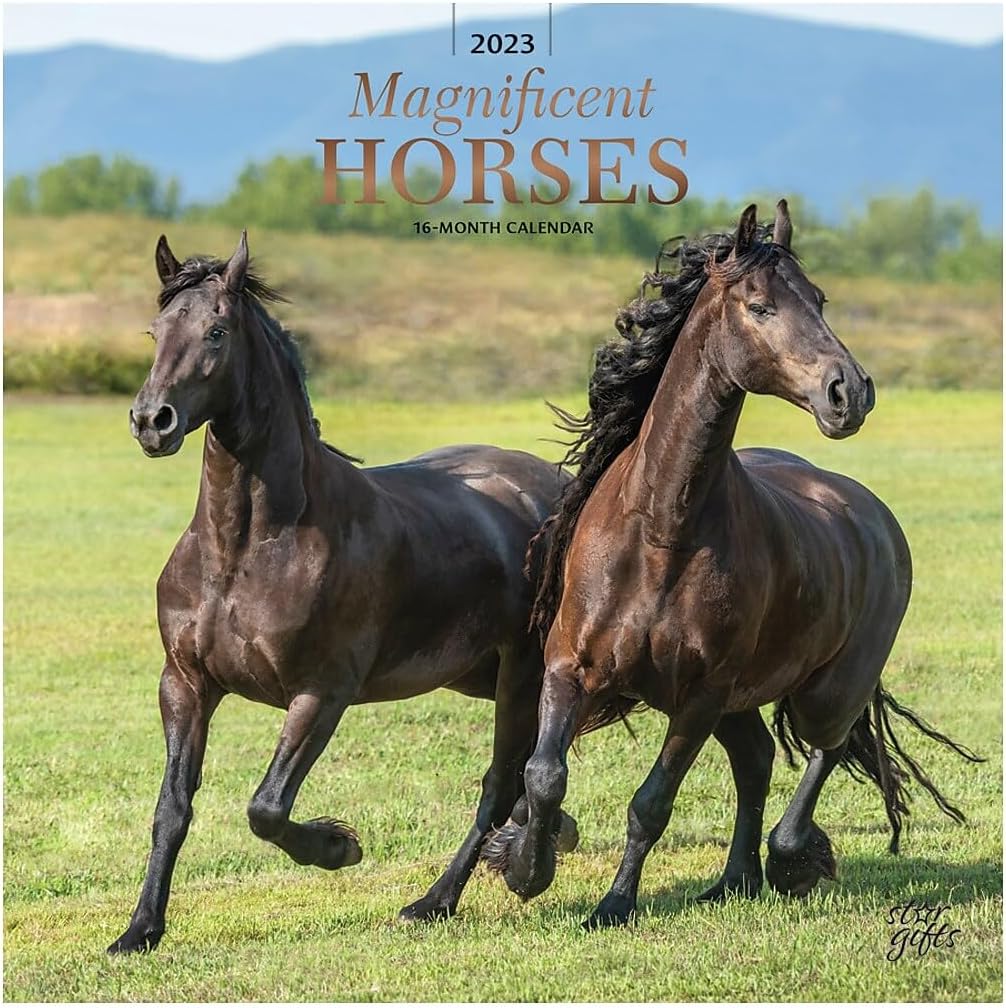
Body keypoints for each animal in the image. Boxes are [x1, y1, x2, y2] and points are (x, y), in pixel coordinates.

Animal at [108, 231, 578, 954]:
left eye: (216, 331)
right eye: (156, 330)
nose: (151, 421)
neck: (246, 550)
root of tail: (553, 487)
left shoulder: (321, 692)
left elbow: (267, 807)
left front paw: (338, 848)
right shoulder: (184, 685)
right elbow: (172, 809)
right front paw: (139, 931)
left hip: (521, 675)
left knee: (501, 782)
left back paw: (438, 900)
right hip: (475, 672)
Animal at [483, 201, 982, 929]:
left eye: (819, 299)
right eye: (759, 305)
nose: (849, 393)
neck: (662, 530)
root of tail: (873, 513)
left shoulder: (702, 694)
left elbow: (650, 804)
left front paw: (613, 905)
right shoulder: (570, 666)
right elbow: (544, 775)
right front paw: (525, 867)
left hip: (826, 688)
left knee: (824, 747)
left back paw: (790, 857)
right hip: (746, 701)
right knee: (758, 757)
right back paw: (734, 879)